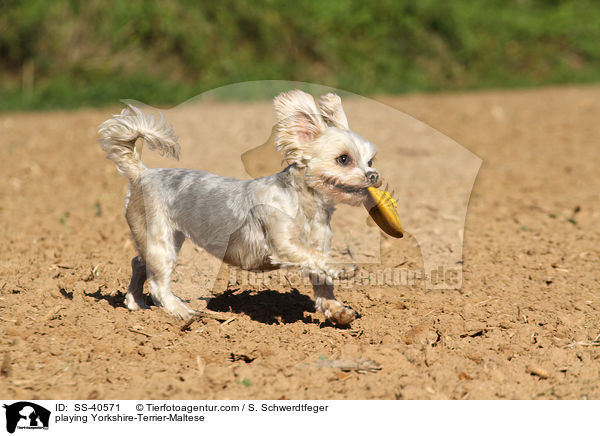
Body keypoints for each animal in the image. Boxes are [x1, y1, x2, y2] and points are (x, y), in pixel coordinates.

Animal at [98, 90, 380, 326]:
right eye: (343, 159)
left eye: (370, 161)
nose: (374, 175)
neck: (307, 206)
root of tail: (141, 174)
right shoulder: (284, 245)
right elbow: (316, 258)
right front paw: (344, 268)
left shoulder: (319, 242)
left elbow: (322, 279)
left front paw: (337, 311)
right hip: (160, 240)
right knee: (158, 283)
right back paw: (182, 312)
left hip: (161, 238)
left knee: (138, 262)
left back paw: (135, 303)